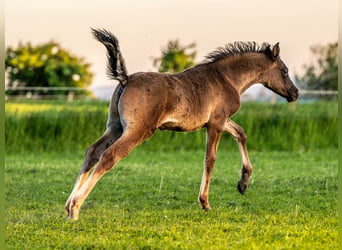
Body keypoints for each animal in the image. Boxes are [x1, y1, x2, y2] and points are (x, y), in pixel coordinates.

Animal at [65, 28, 300, 219]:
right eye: (285, 71)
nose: (295, 93)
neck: (226, 78)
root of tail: (125, 79)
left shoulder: (217, 120)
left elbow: (241, 133)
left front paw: (243, 183)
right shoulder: (216, 122)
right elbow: (210, 159)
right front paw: (205, 202)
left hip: (115, 126)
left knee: (92, 152)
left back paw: (68, 206)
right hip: (138, 130)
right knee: (109, 156)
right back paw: (75, 208)